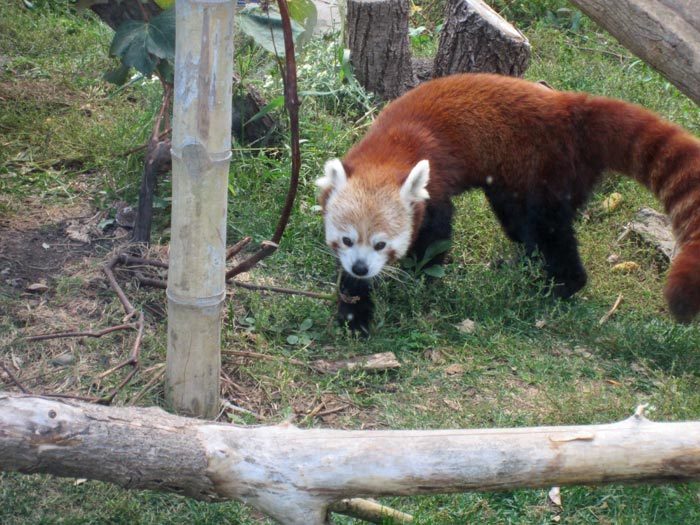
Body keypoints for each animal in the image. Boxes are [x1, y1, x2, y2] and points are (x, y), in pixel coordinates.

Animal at [318, 72, 700, 332]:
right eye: (347, 240)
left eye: (382, 244)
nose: (361, 267)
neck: (390, 150)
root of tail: (568, 106)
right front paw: (354, 309)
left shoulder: (435, 186)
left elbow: (436, 236)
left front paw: (421, 276)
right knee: (530, 233)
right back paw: (521, 268)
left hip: (541, 170)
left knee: (543, 229)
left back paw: (559, 285)